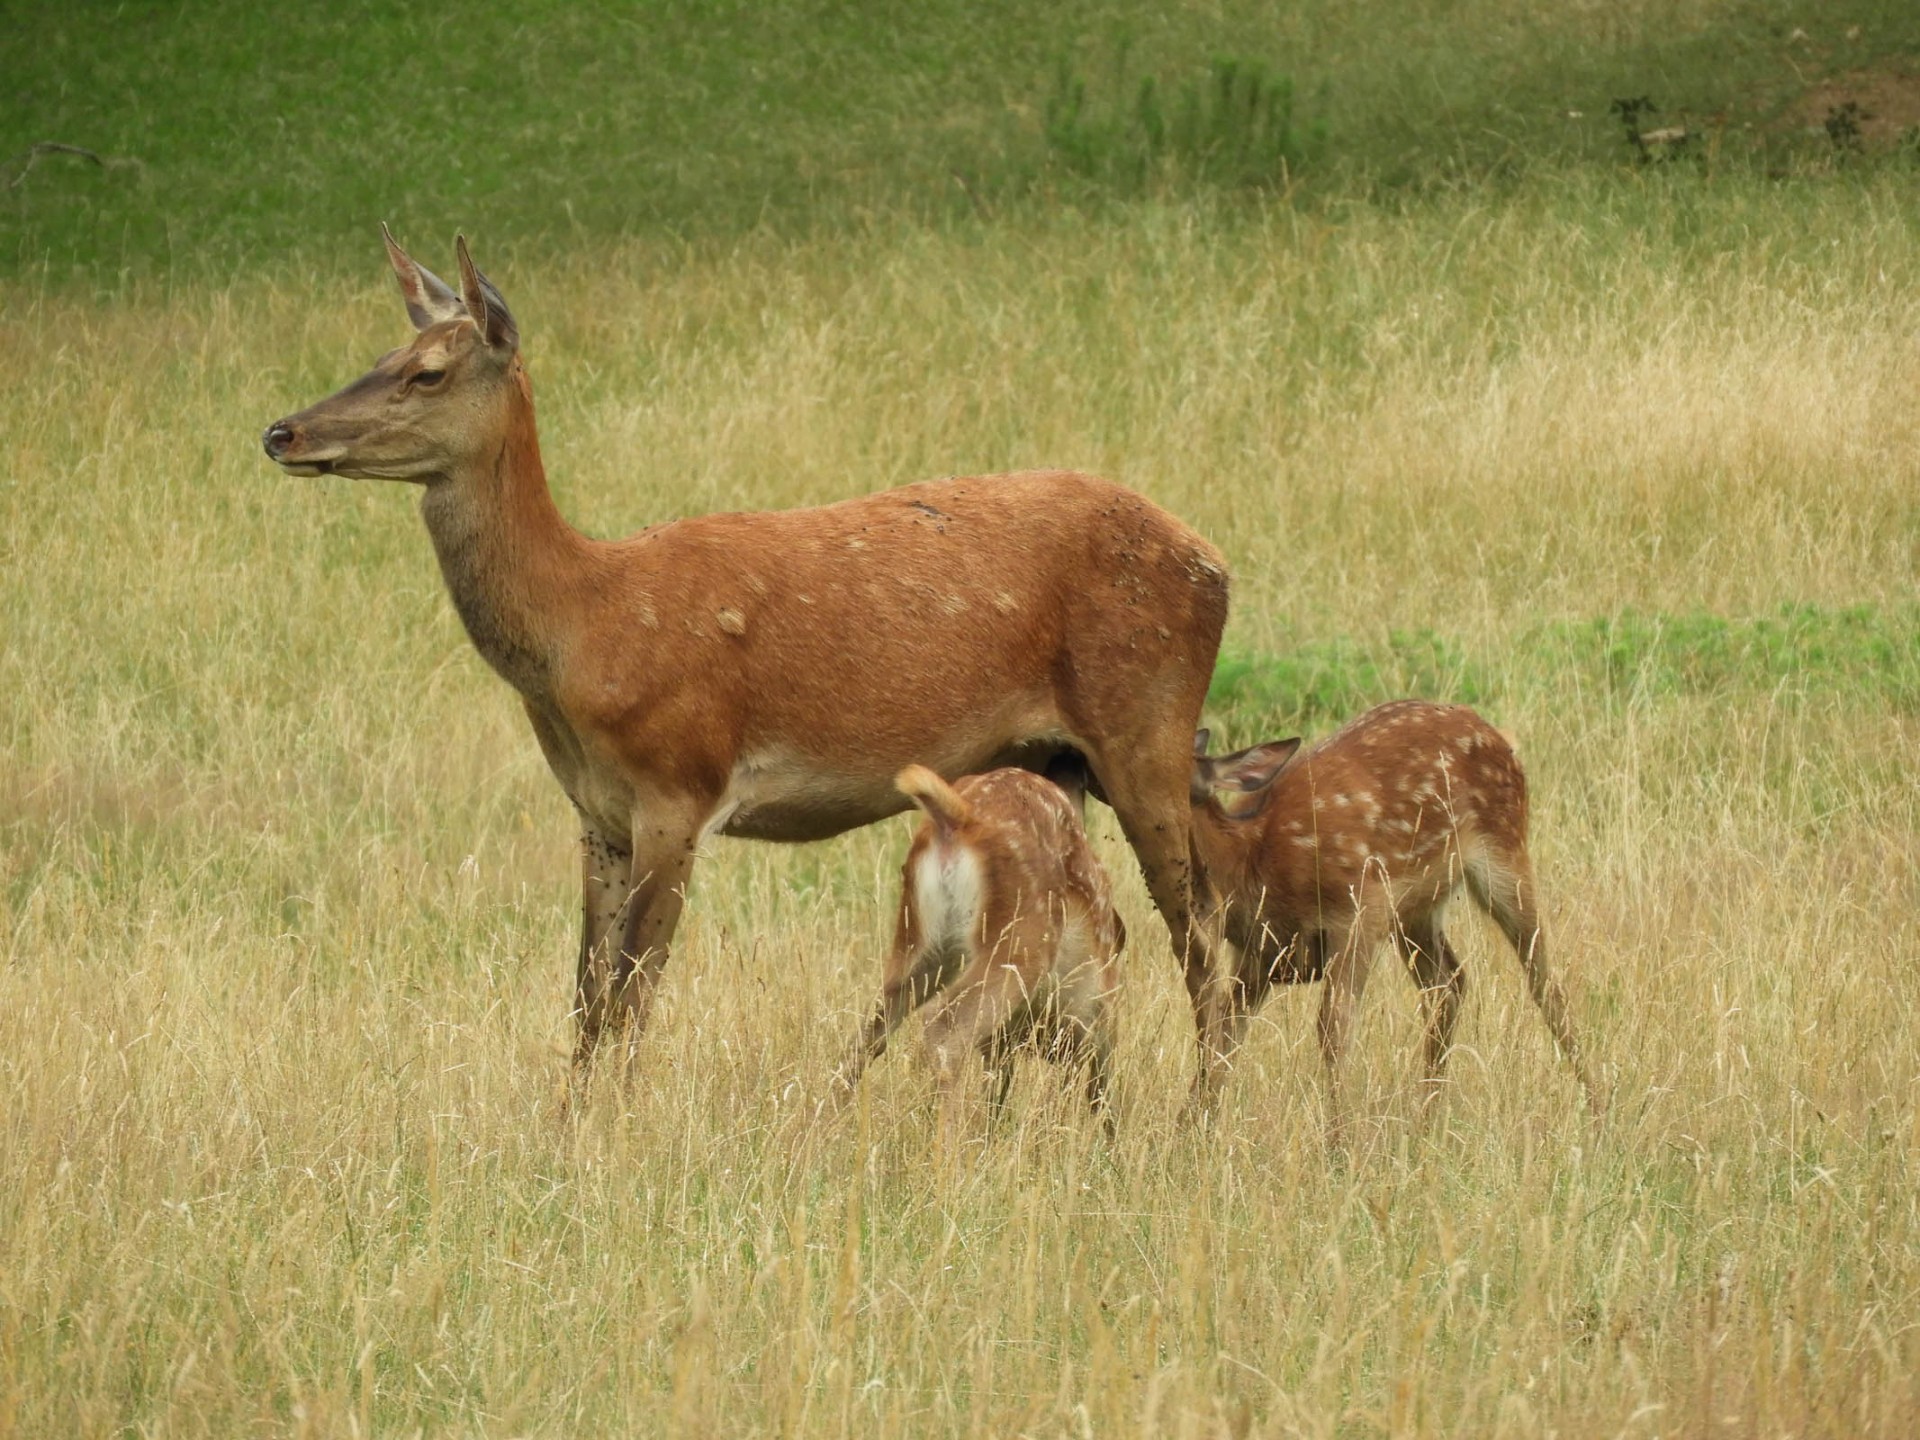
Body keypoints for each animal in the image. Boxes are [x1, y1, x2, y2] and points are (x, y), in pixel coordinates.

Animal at [259, 228, 1228, 1082]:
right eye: (383, 349)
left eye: (427, 372)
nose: (282, 433)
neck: (582, 628)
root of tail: (1215, 563)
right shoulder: (597, 813)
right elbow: (583, 1001)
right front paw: (568, 1127)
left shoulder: (679, 784)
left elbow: (631, 996)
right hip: (1056, 766)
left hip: (1146, 726)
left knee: (1203, 951)